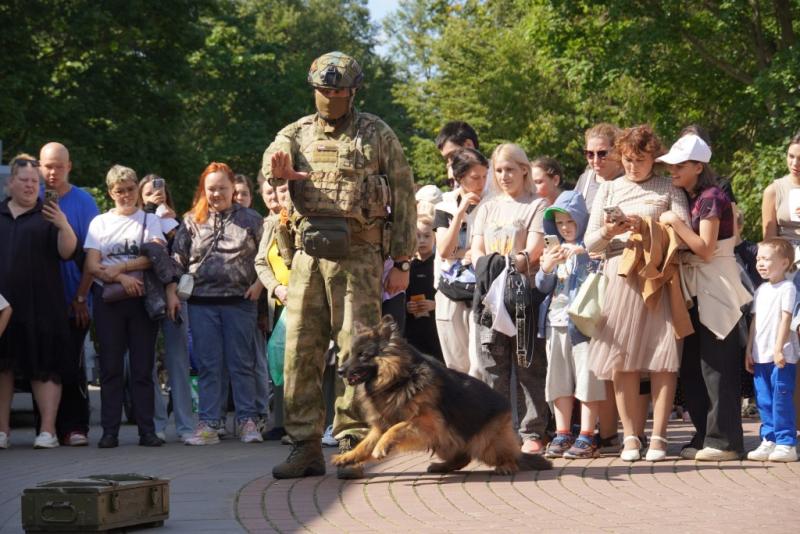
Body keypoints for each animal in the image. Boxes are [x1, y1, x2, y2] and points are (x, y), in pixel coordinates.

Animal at [332, 316, 552, 476]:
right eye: (351, 354)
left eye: (363, 355)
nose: (340, 371)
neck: (400, 379)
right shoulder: (383, 424)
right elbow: (365, 444)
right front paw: (349, 456)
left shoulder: (427, 422)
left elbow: (397, 428)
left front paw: (382, 447)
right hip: (446, 441)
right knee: (463, 457)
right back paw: (442, 466)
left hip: (484, 443)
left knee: (508, 457)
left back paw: (506, 466)